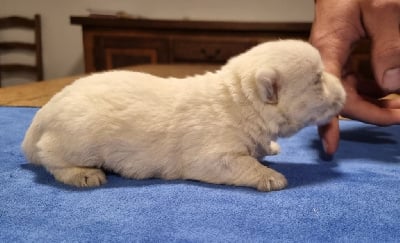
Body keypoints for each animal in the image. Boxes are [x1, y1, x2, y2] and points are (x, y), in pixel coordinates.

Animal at [21, 39, 346, 192]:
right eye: (317, 79)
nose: (344, 92)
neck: (238, 100)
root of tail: (42, 116)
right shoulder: (212, 155)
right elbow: (241, 163)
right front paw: (270, 176)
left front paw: (271, 147)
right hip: (76, 139)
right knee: (51, 159)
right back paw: (83, 174)